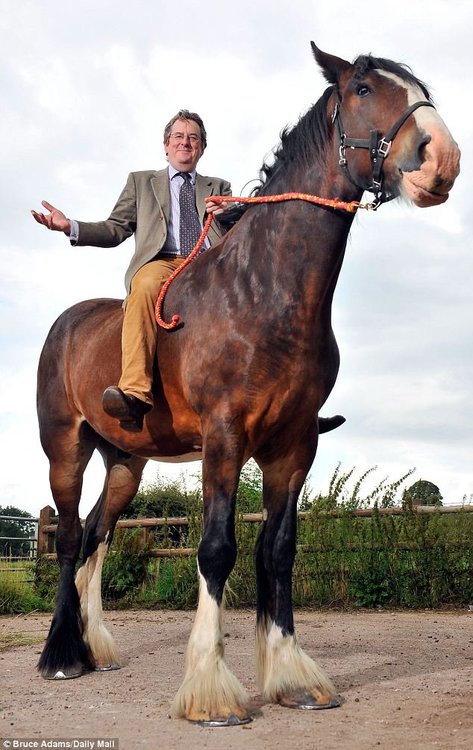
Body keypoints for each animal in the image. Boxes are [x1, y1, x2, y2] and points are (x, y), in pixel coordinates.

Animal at [36, 43, 460, 725]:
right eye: (364, 88)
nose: (439, 158)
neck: (264, 292)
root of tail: (67, 323)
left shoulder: (294, 447)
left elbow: (279, 550)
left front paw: (293, 678)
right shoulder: (225, 438)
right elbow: (216, 549)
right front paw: (211, 692)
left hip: (126, 461)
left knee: (99, 534)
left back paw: (93, 645)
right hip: (65, 451)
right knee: (72, 538)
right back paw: (60, 656)